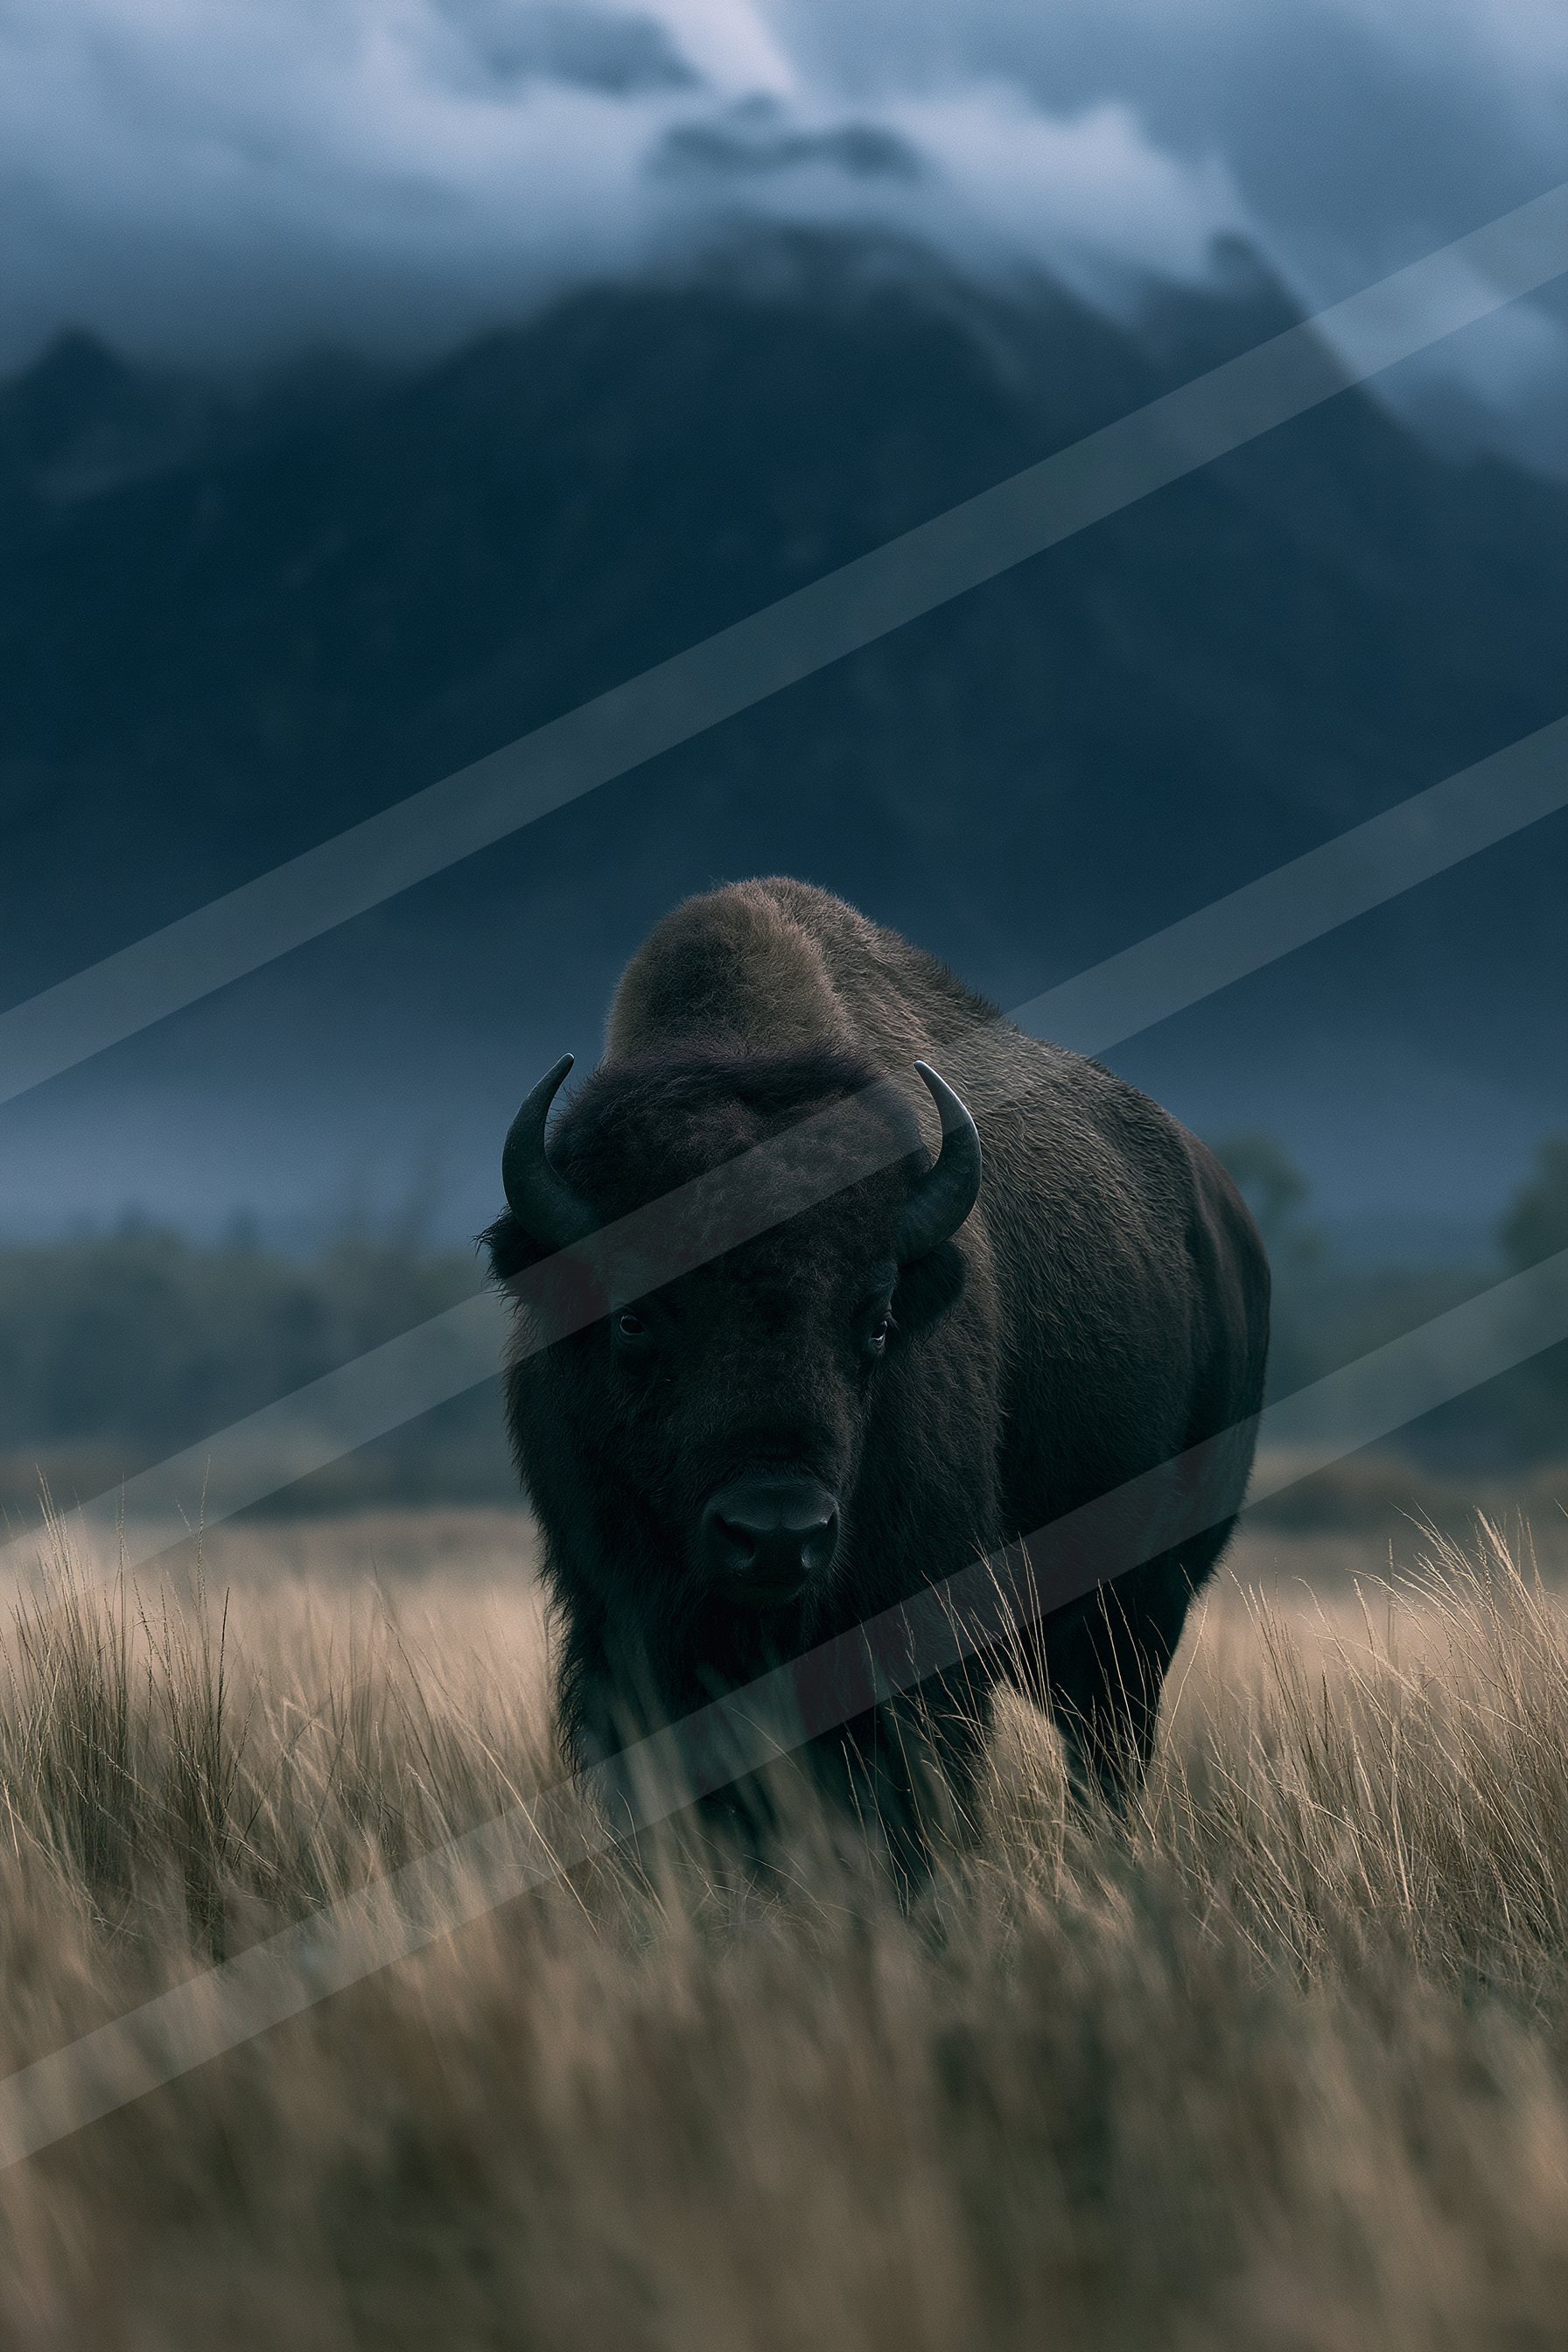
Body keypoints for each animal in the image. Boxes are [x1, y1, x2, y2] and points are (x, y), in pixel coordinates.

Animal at [485, 878, 1269, 1868]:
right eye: (632, 1316)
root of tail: (1224, 1220)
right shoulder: (619, 1627)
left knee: (1104, 1750)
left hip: (1140, 1610)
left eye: (879, 1319)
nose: (776, 1535)